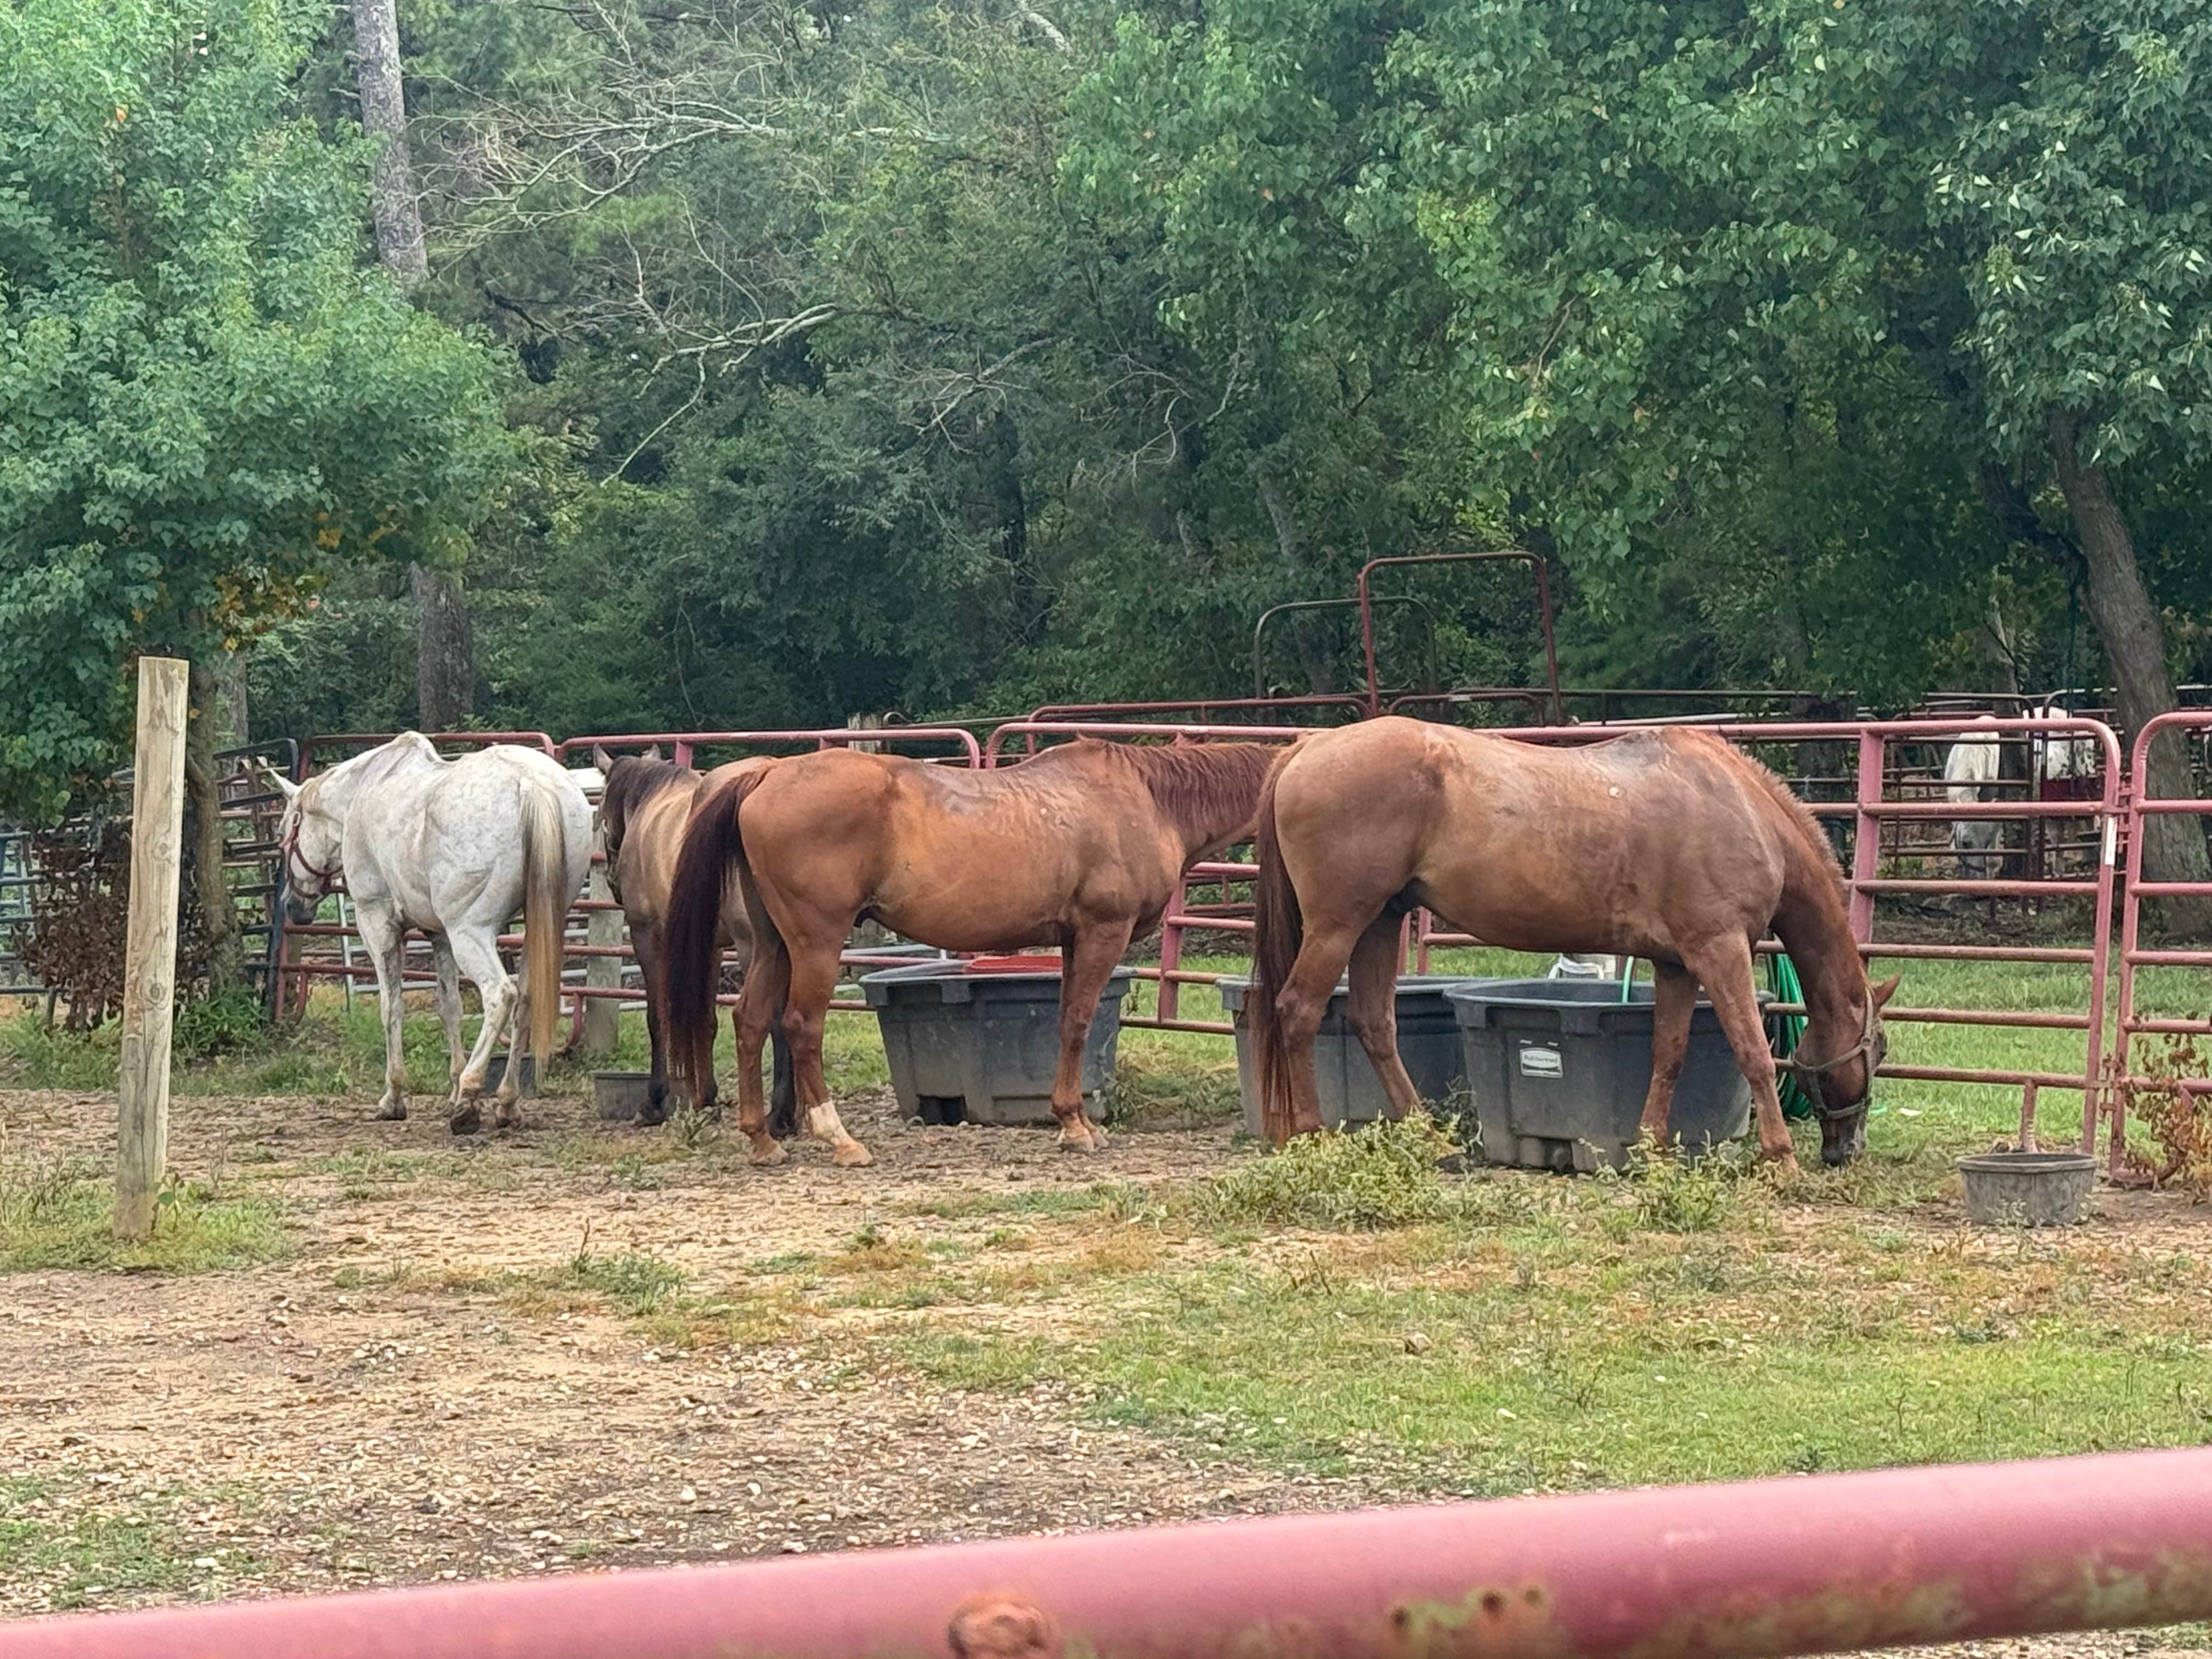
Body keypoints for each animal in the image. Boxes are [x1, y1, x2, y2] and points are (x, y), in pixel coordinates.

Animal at [270, 734, 592, 1132]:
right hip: (533, 931)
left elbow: (391, 1006)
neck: (363, 791)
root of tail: (532, 783)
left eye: (284, 833)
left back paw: (470, 1098)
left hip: (471, 933)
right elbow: (450, 1007)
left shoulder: (377, 923)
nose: (292, 905)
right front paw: (451, 1088)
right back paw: (506, 1103)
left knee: (501, 994)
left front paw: (395, 1097)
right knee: (527, 999)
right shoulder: (440, 937)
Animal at [591, 747, 795, 1130]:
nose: (612, 883)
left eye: (601, 818)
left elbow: (659, 1017)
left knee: (772, 1018)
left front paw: (655, 1101)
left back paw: (779, 1115)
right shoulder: (708, 948)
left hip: (757, 948)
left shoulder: (648, 938)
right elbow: (705, 1019)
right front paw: (704, 1096)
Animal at [665, 738, 1280, 1166]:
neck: (1145, 799)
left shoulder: (1071, 939)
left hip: (774, 943)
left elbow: (1065, 1020)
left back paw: (762, 1140)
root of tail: (767, 774)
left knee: (750, 1020)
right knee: (800, 1025)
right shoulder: (1102, 932)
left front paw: (1073, 1118)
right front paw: (1075, 1127)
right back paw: (840, 1139)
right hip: (815, 942)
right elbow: (1079, 1023)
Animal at [1248, 718, 1898, 1169]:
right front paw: (1781, 1157)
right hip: (1339, 925)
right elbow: (1753, 1053)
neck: (1738, 805)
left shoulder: (1677, 964)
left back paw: (1430, 1140)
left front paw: (1651, 1148)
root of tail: (1307, 748)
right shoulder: (1721, 951)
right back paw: (1310, 1135)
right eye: (1881, 1049)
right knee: (1298, 1011)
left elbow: (1669, 1053)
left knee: (1374, 1023)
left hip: (1380, 922)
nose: (1847, 1150)